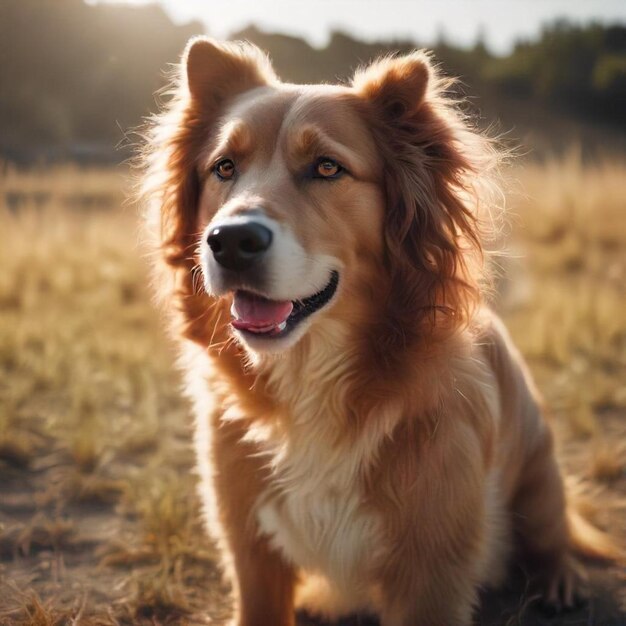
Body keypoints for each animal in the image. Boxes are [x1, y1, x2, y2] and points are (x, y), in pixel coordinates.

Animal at [140, 39, 616, 624]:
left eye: (327, 167)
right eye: (224, 167)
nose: (230, 241)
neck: (312, 382)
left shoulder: (431, 572)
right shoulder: (251, 551)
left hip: (540, 472)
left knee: (554, 534)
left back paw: (558, 578)